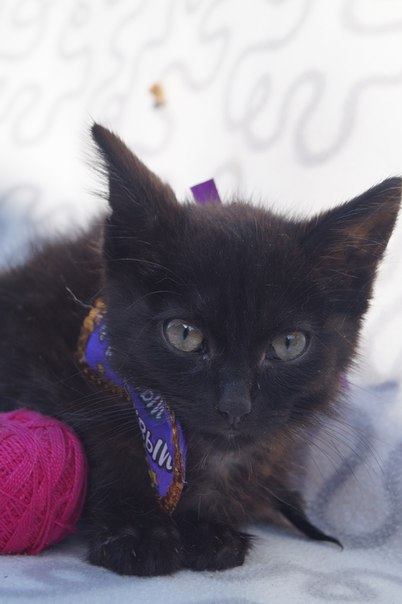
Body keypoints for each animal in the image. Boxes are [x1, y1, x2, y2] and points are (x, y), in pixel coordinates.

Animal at [0, 123, 400, 576]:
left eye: (288, 344)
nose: (235, 405)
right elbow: (99, 450)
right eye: (184, 334)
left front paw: (207, 529)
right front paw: (138, 533)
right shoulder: (33, 358)